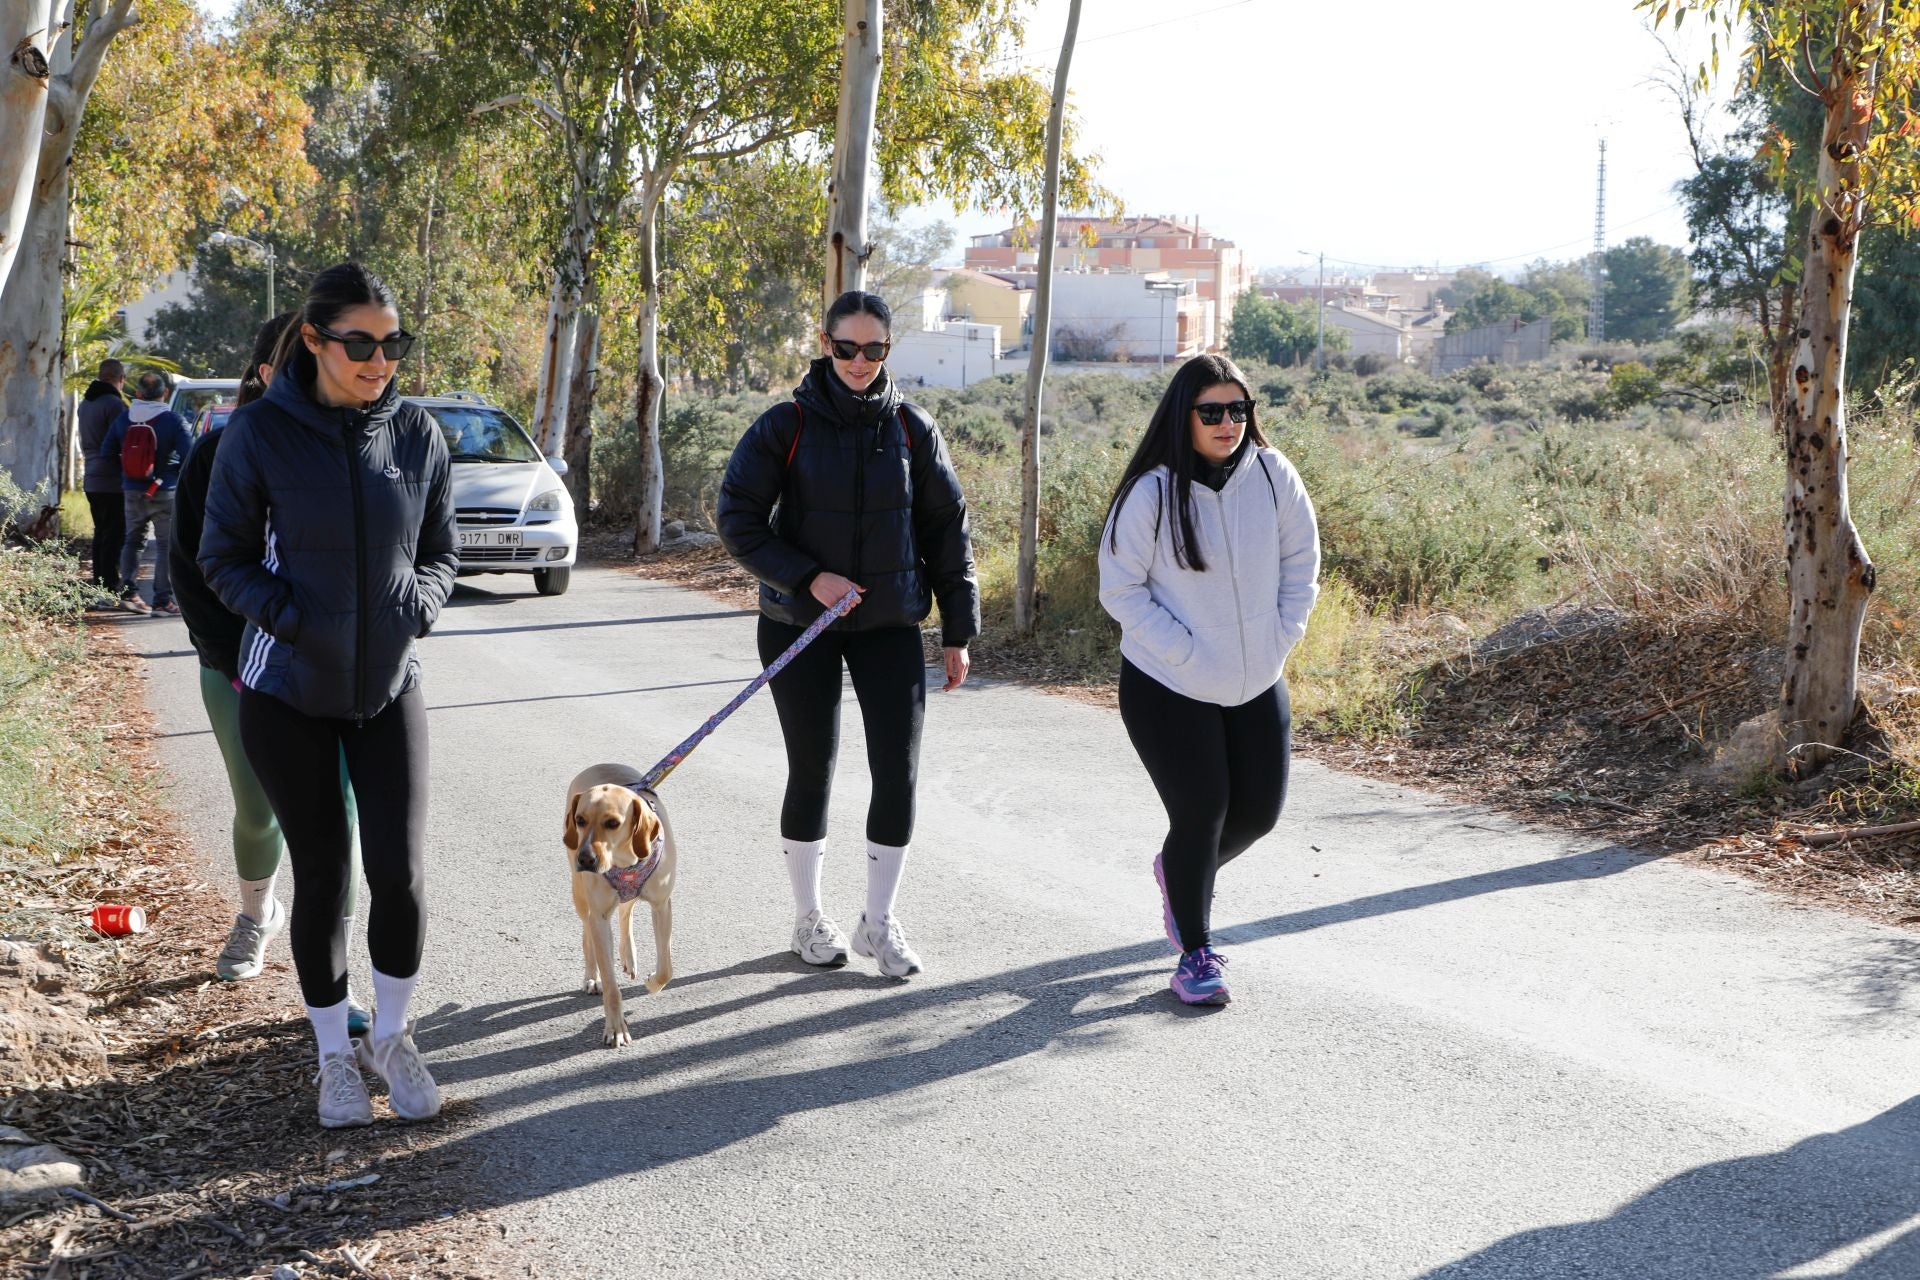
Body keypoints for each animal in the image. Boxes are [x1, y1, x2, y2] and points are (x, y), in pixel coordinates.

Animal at [560, 767, 679, 1043]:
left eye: (613, 823)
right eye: (580, 820)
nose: (585, 859)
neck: (624, 861)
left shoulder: (661, 905)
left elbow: (666, 969)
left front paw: (652, 983)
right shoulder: (600, 917)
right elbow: (611, 987)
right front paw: (615, 1028)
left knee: (626, 911)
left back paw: (629, 955)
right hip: (580, 897)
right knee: (587, 934)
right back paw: (592, 977)